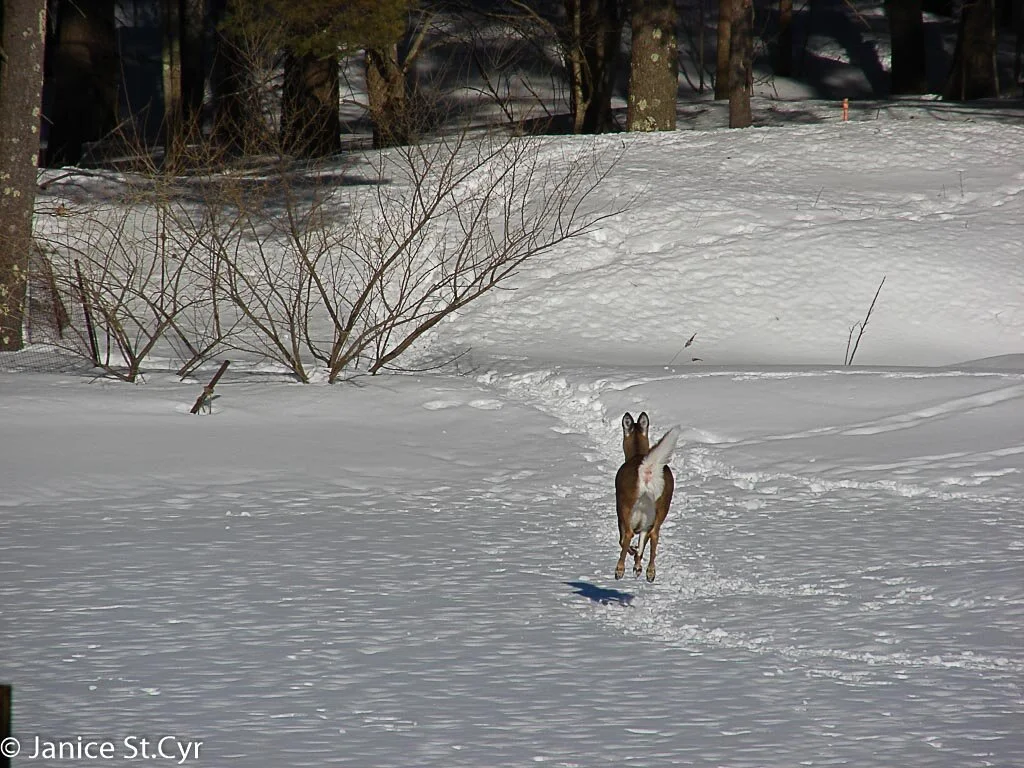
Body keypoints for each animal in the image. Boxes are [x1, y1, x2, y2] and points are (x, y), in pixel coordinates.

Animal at [615, 412, 679, 582]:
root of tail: (648, 469)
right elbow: (642, 543)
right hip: (662, 505)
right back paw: (650, 572)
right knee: (654, 534)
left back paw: (619, 570)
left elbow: (624, 540)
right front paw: (637, 567)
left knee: (627, 535)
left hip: (626, 503)